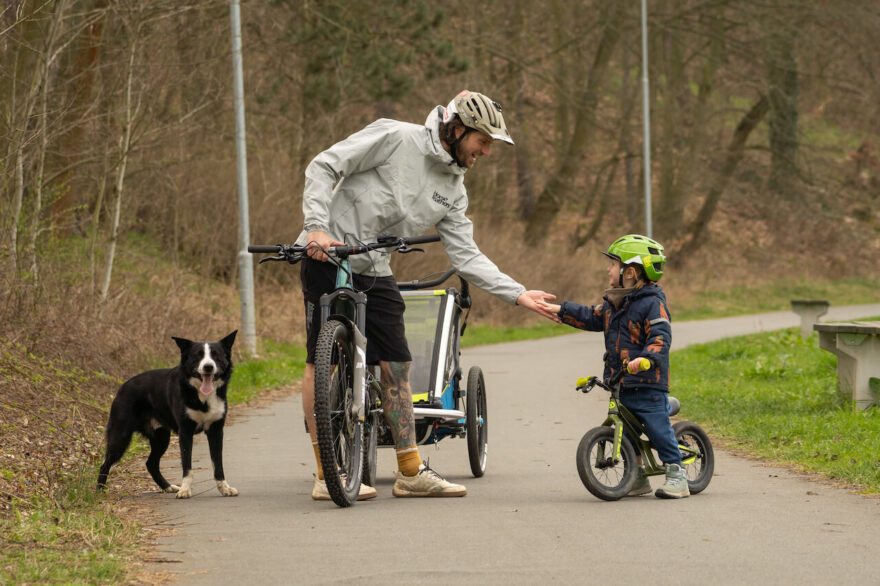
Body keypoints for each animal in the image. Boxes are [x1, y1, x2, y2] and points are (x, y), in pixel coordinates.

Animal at [97, 330, 237, 496]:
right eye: (198, 355)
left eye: (216, 355)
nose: (208, 367)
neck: (202, 396)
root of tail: (122, 387)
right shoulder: (185, 432)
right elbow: (187, 465)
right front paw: (185, 490)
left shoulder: (216, 431)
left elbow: (218, 464)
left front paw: (225, 488)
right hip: (120, 436)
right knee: (105, 464)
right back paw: (99, 491)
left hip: (161, 437)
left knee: (150, 463)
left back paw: (167, 486)